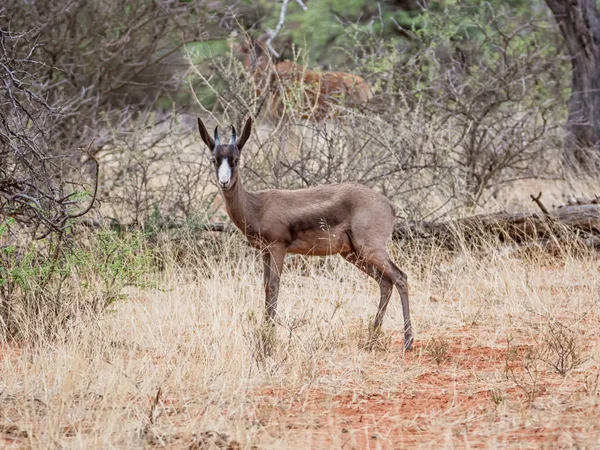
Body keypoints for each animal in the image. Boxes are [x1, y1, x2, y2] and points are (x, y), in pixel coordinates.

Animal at [199, 116, 414, 352]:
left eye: (235, 159)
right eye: (214, 159)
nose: (224, 182)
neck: (257, 206)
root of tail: (389, 206)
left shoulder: (278, 247)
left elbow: (274, 286)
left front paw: (268, 342)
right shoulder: (264, 251)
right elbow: (265, 287)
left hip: (370, 250)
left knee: (400, 277)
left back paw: (408, 342)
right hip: (353, 254)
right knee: (385, 282)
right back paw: (371, 340)